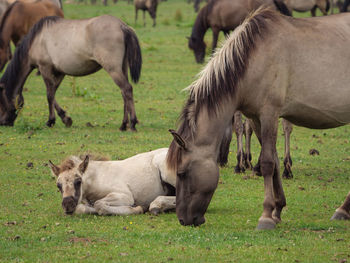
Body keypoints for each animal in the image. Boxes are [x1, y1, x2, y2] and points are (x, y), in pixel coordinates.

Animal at [0, 15, 143, 131]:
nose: (3, 123)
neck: (37, 40)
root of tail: (122, 26)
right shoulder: (60, 72)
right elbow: (53, 93)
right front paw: (65, 119)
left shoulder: (44, 68)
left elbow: (49, 95)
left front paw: (50, 121)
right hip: (122, 68)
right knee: (124, 93)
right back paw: (123, 125)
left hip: (113, 69)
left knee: (127, 89)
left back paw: (133, 123)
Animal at [166, 8, 350, 230]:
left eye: (182, 173)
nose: (183, 219)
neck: (253, 59)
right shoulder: (255, 118)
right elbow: (275, 161)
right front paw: (278, 210)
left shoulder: (270, 113)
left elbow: (268, 163)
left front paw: (266, 216)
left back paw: (343, 209)